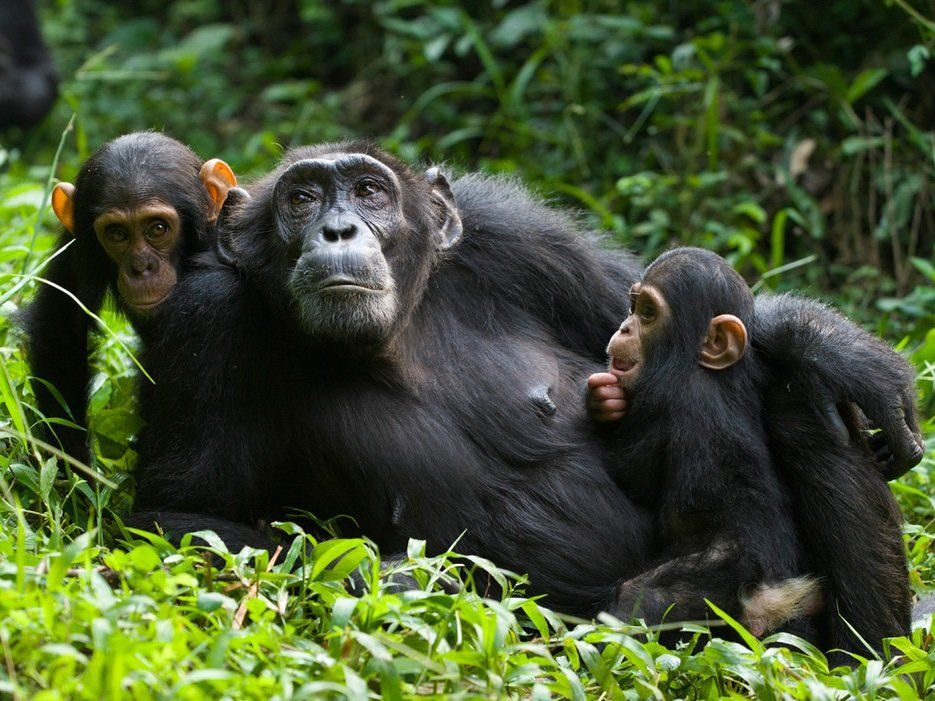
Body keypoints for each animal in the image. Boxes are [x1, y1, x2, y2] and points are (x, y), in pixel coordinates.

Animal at [23, 132, 236, 462]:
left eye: (158, 228)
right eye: (117, 234)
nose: (141, 267)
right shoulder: (76, 243)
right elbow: (62, 328)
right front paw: (72, 465)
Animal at [128, 139, 924, 628]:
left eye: (368, 190)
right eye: (300, 198)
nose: (338, 229)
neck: (398, 330)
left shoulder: (519, 237)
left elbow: (647, 308)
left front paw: (833, 344)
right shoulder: (202, 322)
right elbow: (179, 513)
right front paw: (408, 579)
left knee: (805, 406)